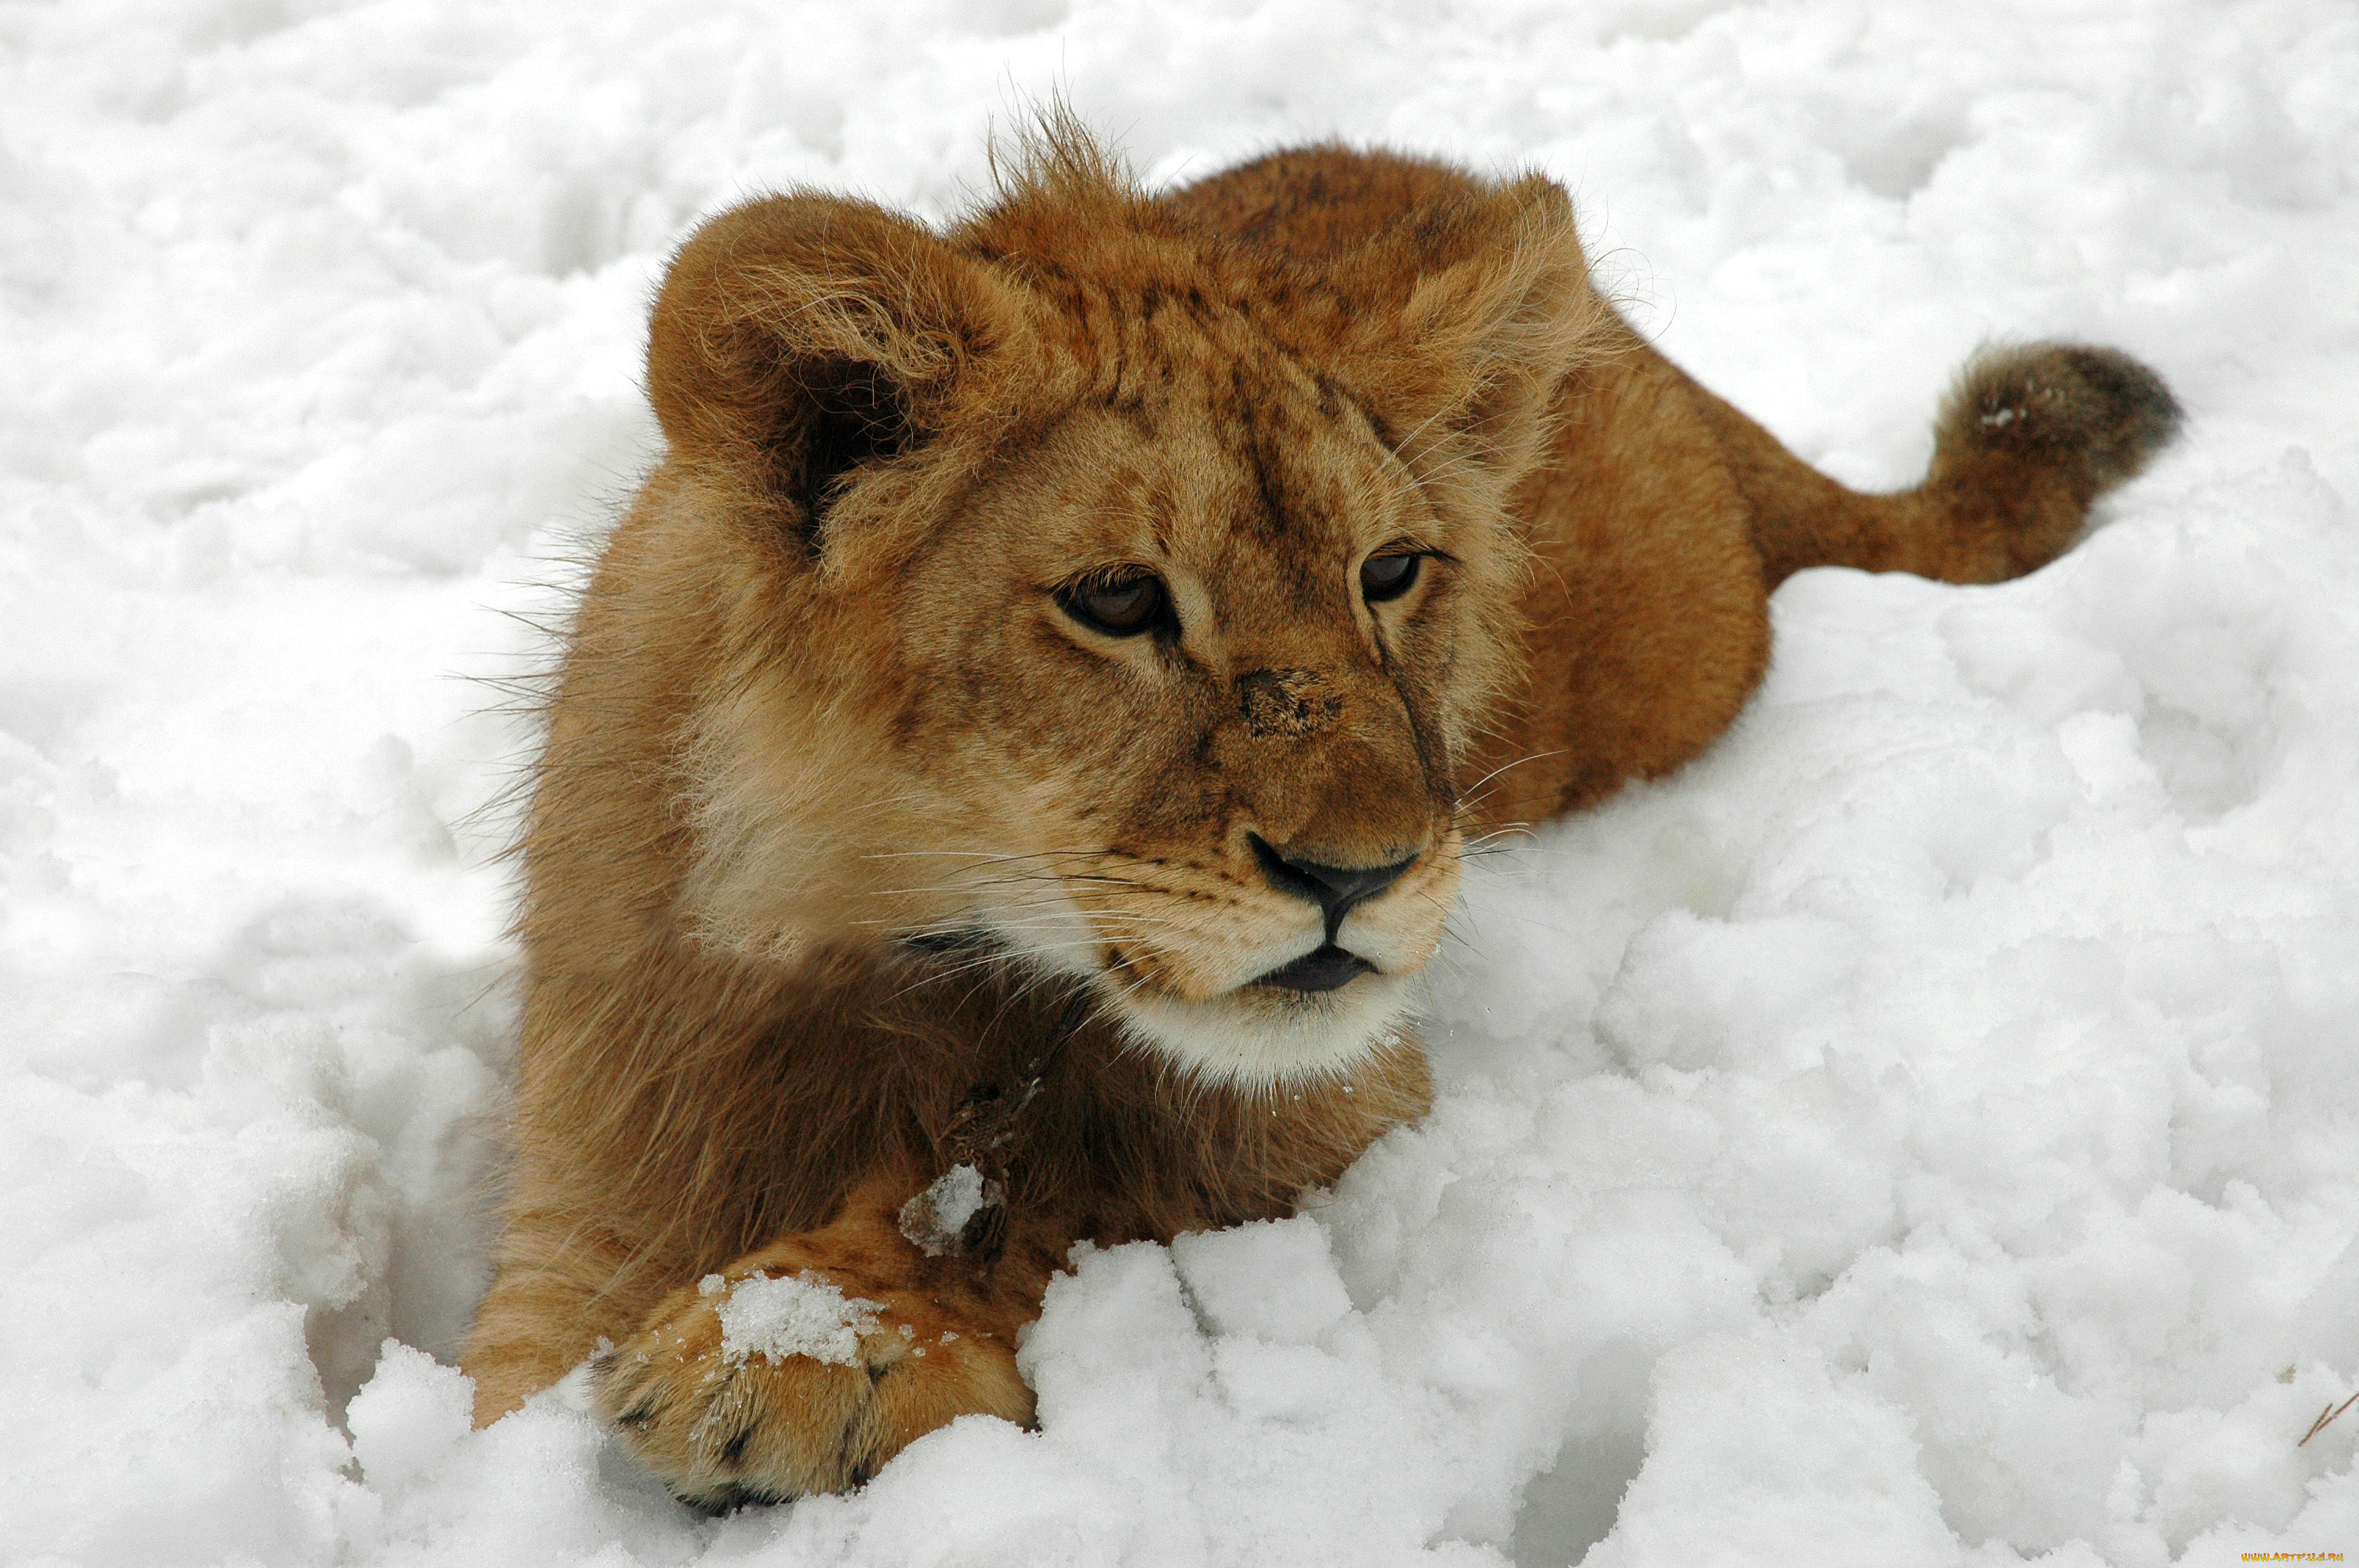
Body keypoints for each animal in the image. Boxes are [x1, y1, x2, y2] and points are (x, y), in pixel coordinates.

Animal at [460, 125, 2170, 1508]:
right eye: (1115, 600)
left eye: (1391, 573)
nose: (1363, 874)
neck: (884, 943)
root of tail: (1671, 371)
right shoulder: (589, 1191)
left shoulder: (1334, 1100)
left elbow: (1074, 1170)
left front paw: (809, 1348)